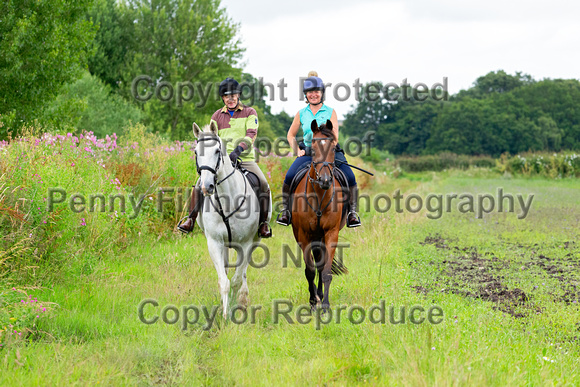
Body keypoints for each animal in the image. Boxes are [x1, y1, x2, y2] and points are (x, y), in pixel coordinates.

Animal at [292, 119, 346, 314]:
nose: (324, 180)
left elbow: (326, 271)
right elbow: (309, 271)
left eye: (333, 149)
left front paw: (325, 305)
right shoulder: (304, 235)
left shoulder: (331, 233)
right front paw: (313, 303)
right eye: (313, 149)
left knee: (321, 263)